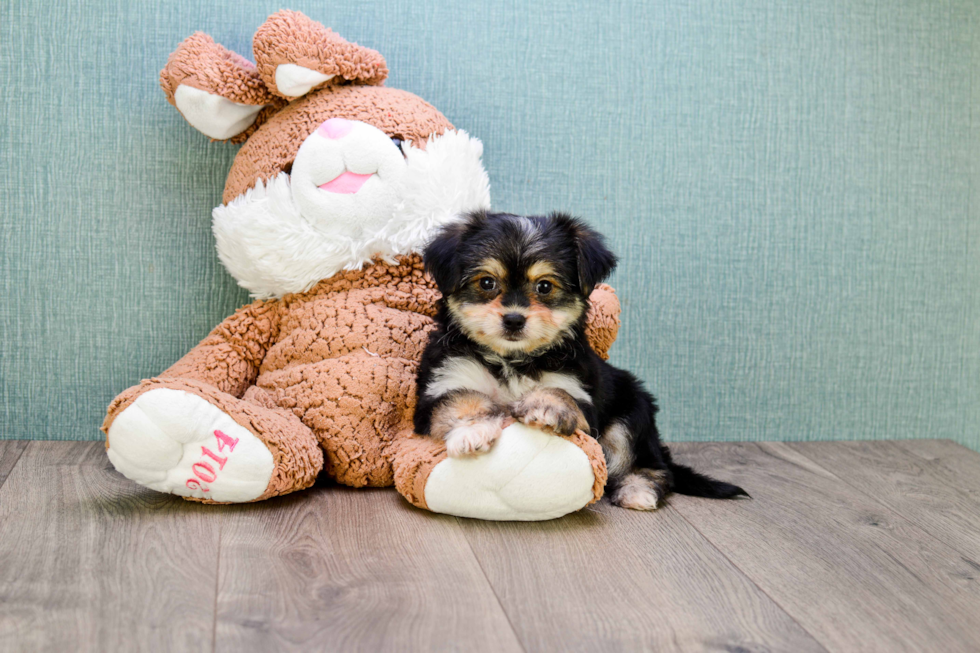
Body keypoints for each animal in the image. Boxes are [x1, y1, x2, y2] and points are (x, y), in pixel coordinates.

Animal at [416, 210, 752, 510]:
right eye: (487, 283)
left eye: (545, 286)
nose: (513, 319)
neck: (514, 359)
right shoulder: (445, 380)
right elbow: (460, 401)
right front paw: (471, 432)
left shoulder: (579, 392)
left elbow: (561, 393)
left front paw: (545, 406)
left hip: (633, 412)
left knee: (650, 464)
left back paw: (638, 491)